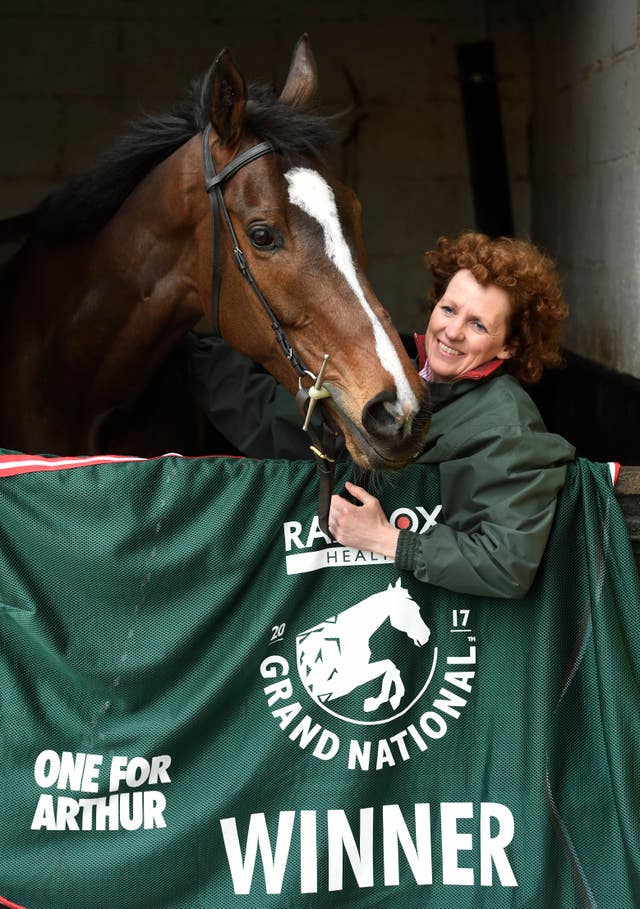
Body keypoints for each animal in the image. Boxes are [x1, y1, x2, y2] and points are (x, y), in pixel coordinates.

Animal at [296, 580, 430, 712]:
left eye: (418, 607)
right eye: (411, 608)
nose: (426, 635)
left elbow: (391, 666)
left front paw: (387, 699)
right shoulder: (346, 681)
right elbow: (389, 666)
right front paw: (384, 700)